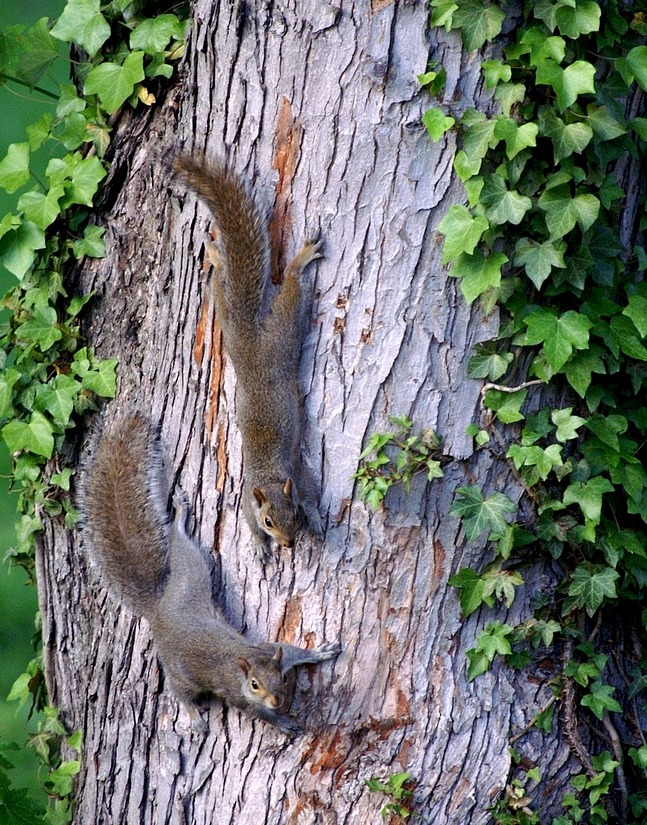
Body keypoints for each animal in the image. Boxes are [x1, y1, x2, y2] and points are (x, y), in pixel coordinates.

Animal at [83, 413, 340, 735]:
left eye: (281, 678)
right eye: (254, 685)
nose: (277, 700)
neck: (246, 662)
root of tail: (157, 609)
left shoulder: (270, 649)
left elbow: (292, 652)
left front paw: (321, 652)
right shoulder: (236, 694)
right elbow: (256, 713)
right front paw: (281, 722)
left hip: (191, 574)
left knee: (181, 544)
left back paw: (180, 516)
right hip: (178, 668)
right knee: (180, 692)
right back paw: (194, 715)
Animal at [172, 154, 323, 561]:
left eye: (294, 513)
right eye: (269, 521)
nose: (287, 544)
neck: (270, 476)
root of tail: (248, 342)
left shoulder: (298, 474)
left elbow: (313, 492)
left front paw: (318, 518)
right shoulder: (246, 498)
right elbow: (245, 517)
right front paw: (258, 545)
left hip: (270, 330)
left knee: (264, 282)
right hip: (254, 327)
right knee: (241, 285)